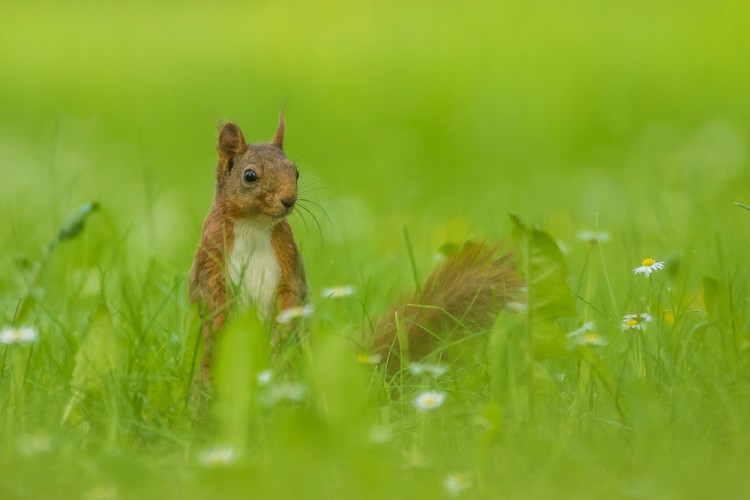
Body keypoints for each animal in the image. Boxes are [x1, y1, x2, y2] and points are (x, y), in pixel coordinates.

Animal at [191, 113, 524, 378]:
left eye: (295, 171)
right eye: (249, 176)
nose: (289, 200)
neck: (255, 226)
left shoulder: (287, 258)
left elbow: (291, 296)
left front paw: (279, 338)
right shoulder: (210, 255)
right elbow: (210, 295)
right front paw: (221, 328)